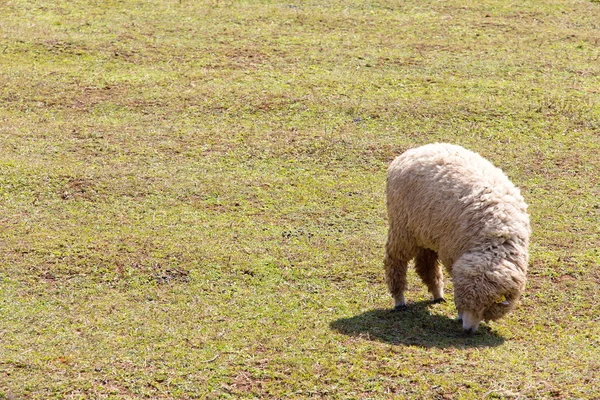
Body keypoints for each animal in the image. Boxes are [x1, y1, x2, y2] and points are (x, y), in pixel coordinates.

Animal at [384, 144, 528, 334]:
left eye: (486, 306)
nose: (467, 330)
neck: (497, 237)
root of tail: (415, 150)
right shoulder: (452, 253)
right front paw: (460, 315)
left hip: (428, 230)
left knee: (426, 263)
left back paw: (437, 294)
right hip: (403, 228)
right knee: (395, 261)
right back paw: (399, 300)